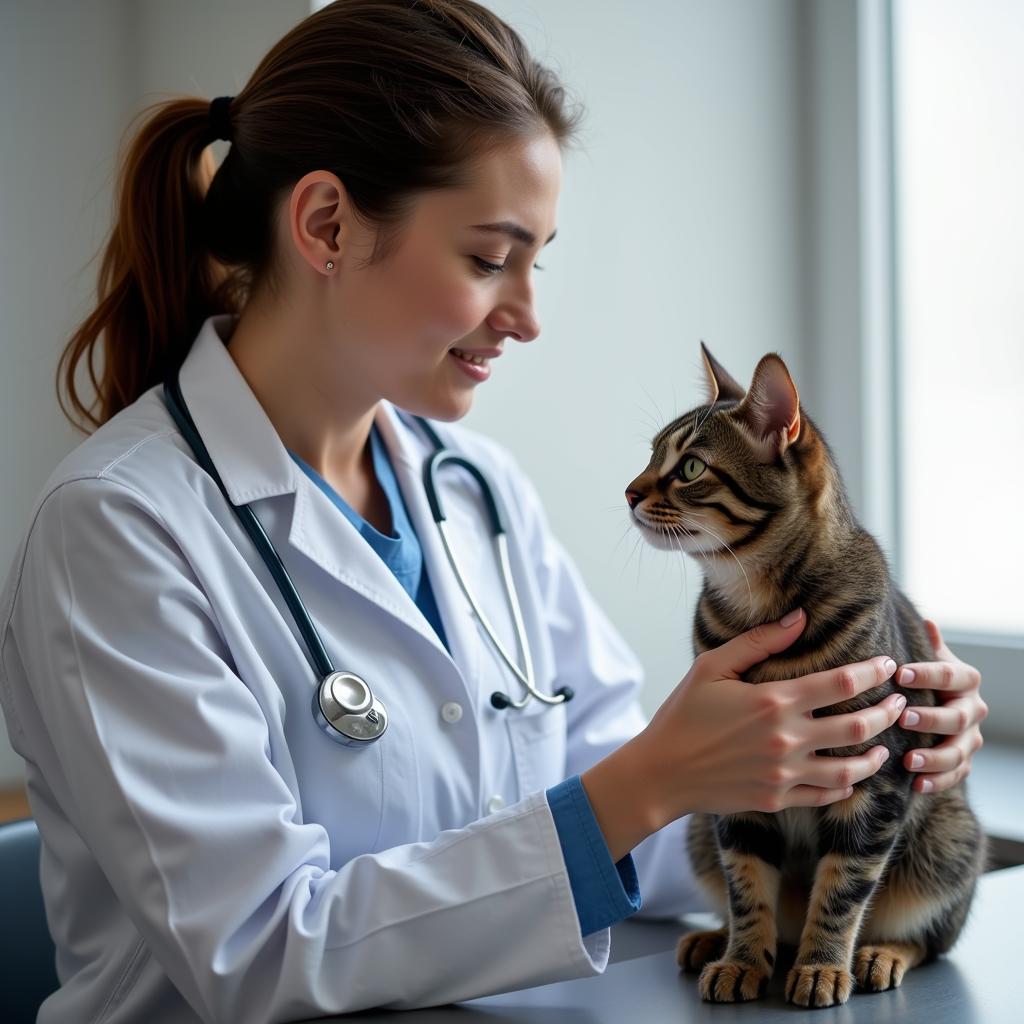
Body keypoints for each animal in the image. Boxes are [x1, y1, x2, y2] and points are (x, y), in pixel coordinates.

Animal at [622, 344, 983, 1007]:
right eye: (651, 454)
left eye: (689, 467)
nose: (629, 492)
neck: (755, 603)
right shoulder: (731, 782)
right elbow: (746, 885)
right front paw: (742, 957)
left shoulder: (877, 776)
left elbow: (844, 886)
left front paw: (821, 965)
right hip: (698, 832)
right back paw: (715, 938)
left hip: (947, 840)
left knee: (929, 936)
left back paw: (878, 953)